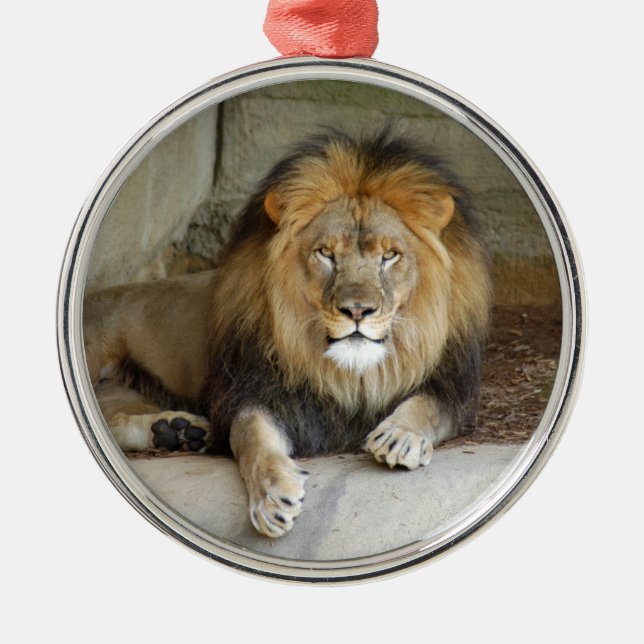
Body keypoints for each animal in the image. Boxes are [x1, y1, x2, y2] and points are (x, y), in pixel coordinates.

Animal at [84, 129, 491, 538]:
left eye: (389, 255)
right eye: (326, 253)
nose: (357, 311)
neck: (349, 374)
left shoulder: (450, 390)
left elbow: (426, 407)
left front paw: (400, 437)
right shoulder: (257, 394)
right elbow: (252, 439)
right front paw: (272, 498)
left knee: (113, 420)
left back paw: (176, 431)